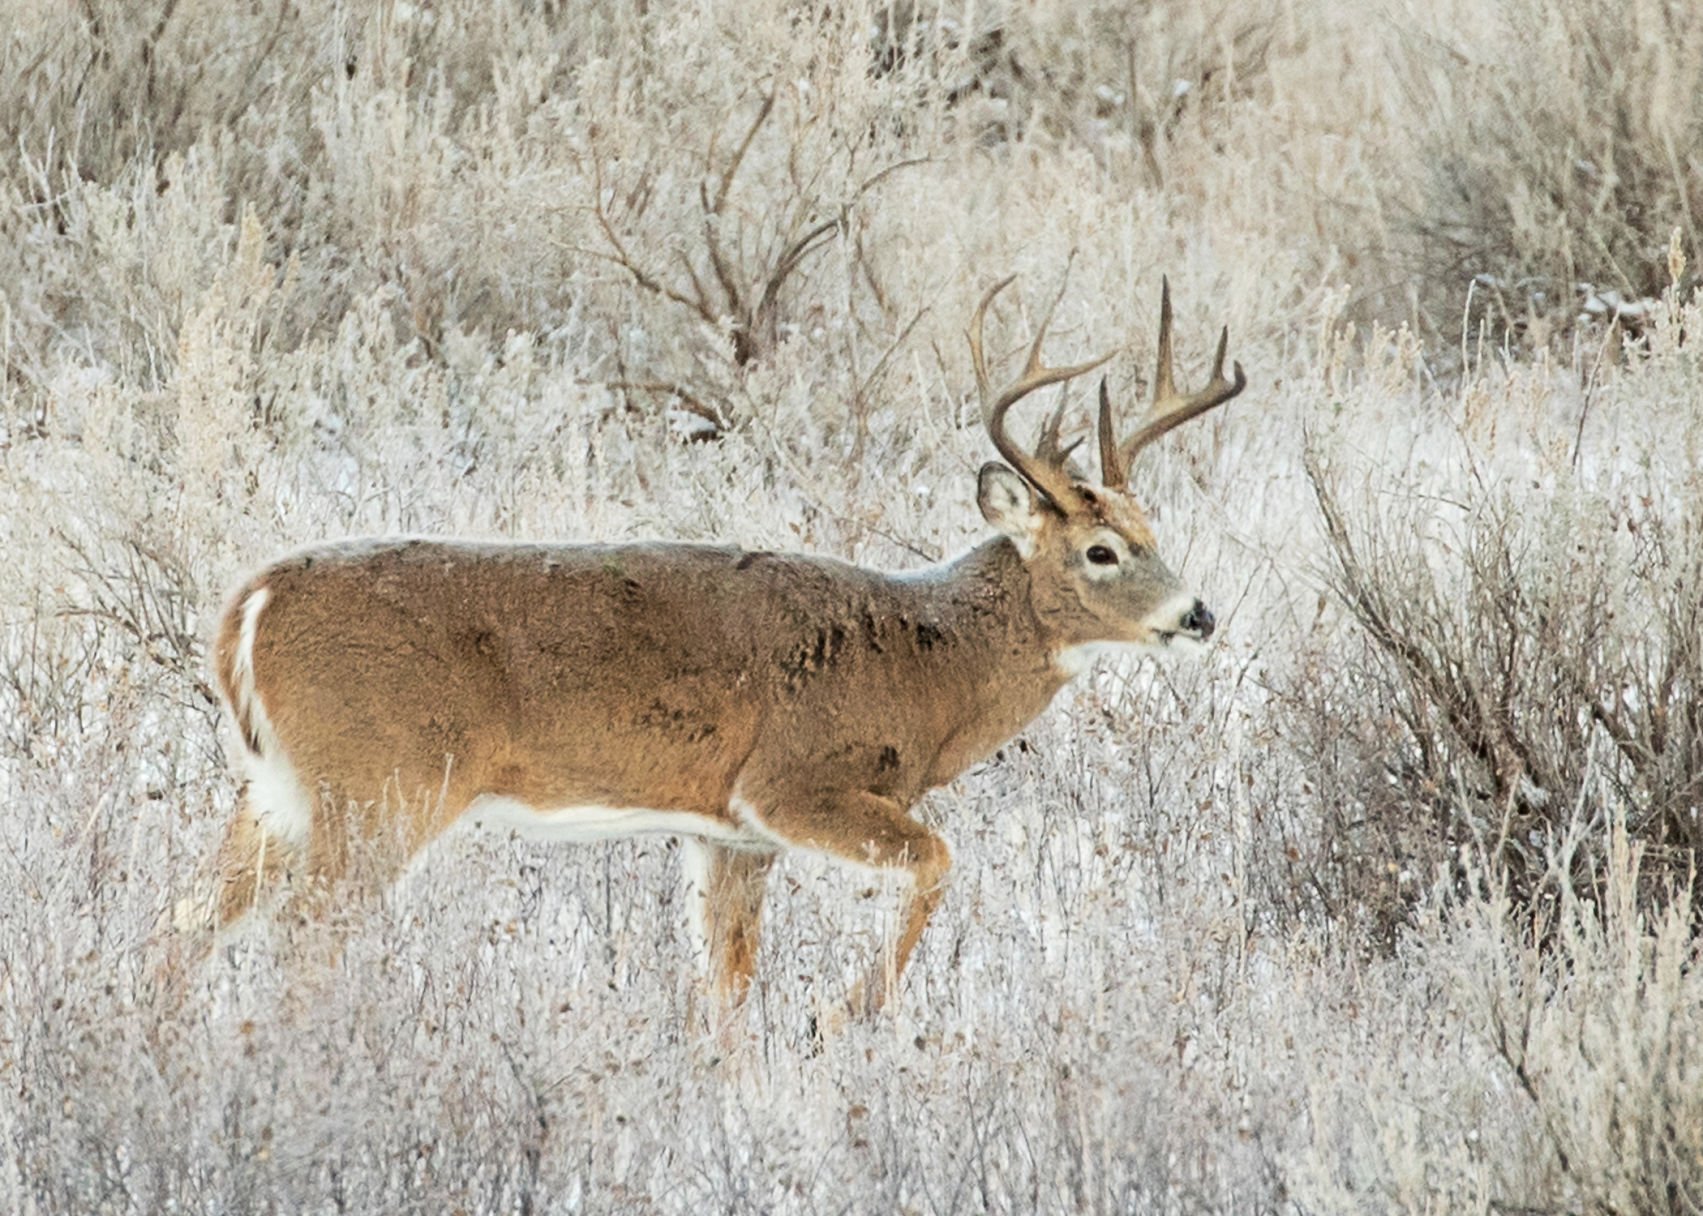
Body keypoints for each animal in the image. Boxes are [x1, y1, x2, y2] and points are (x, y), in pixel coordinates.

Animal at [202, 274, 1253, 1015]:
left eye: (1153, 528)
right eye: (1100, 550)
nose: (1197, 615)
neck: (929, 665)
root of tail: (250, 604)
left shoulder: (726, 832)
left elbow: (727, 989)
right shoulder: (790, 782)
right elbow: (938, 862)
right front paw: (846, 1018)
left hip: (279, 791)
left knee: (189, 926)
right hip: (381, 783)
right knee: (301, 937)